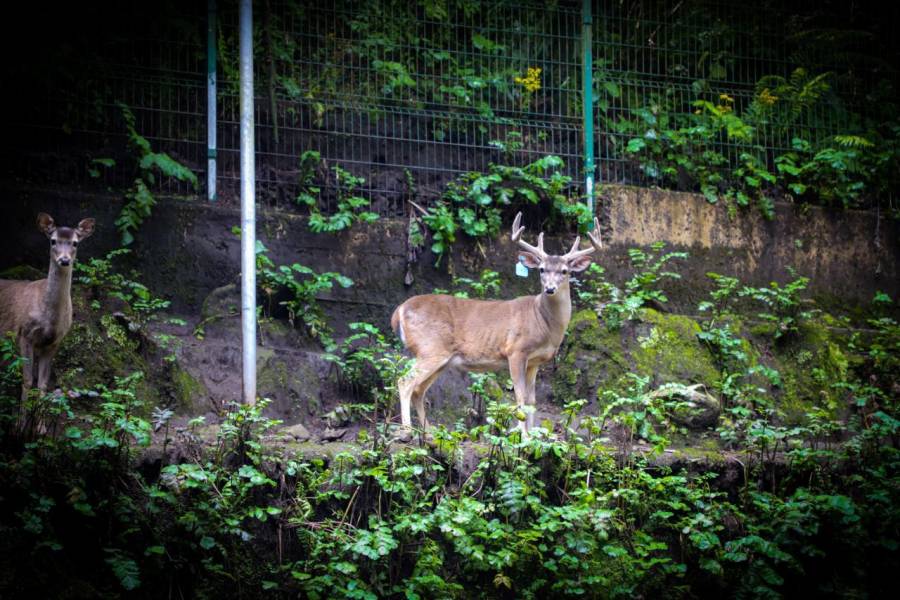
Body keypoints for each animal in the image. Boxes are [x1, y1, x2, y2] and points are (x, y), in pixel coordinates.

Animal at [0, 213, 96, 414]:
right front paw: (21, 421)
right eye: (53, 240)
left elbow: (43, 384)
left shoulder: (54, 342)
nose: (65, 260)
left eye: (75, 243)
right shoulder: (24, 334)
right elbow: (28, 380)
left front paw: (39, 422)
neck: (49, 320)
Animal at [390, 212, 600, 436]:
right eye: (542, 269)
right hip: (431, 348)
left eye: (564, 271)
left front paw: (533, 436)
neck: (544, 322)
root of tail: (399, 310)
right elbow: (520, 396)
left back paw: (429, 431)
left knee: (418, 390)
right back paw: (408, 430)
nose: (550, 289)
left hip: (440, 357)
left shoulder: (534, 361)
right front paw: (523, 435)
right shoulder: (516, 351)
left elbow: (532, 400)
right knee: (405, 382)